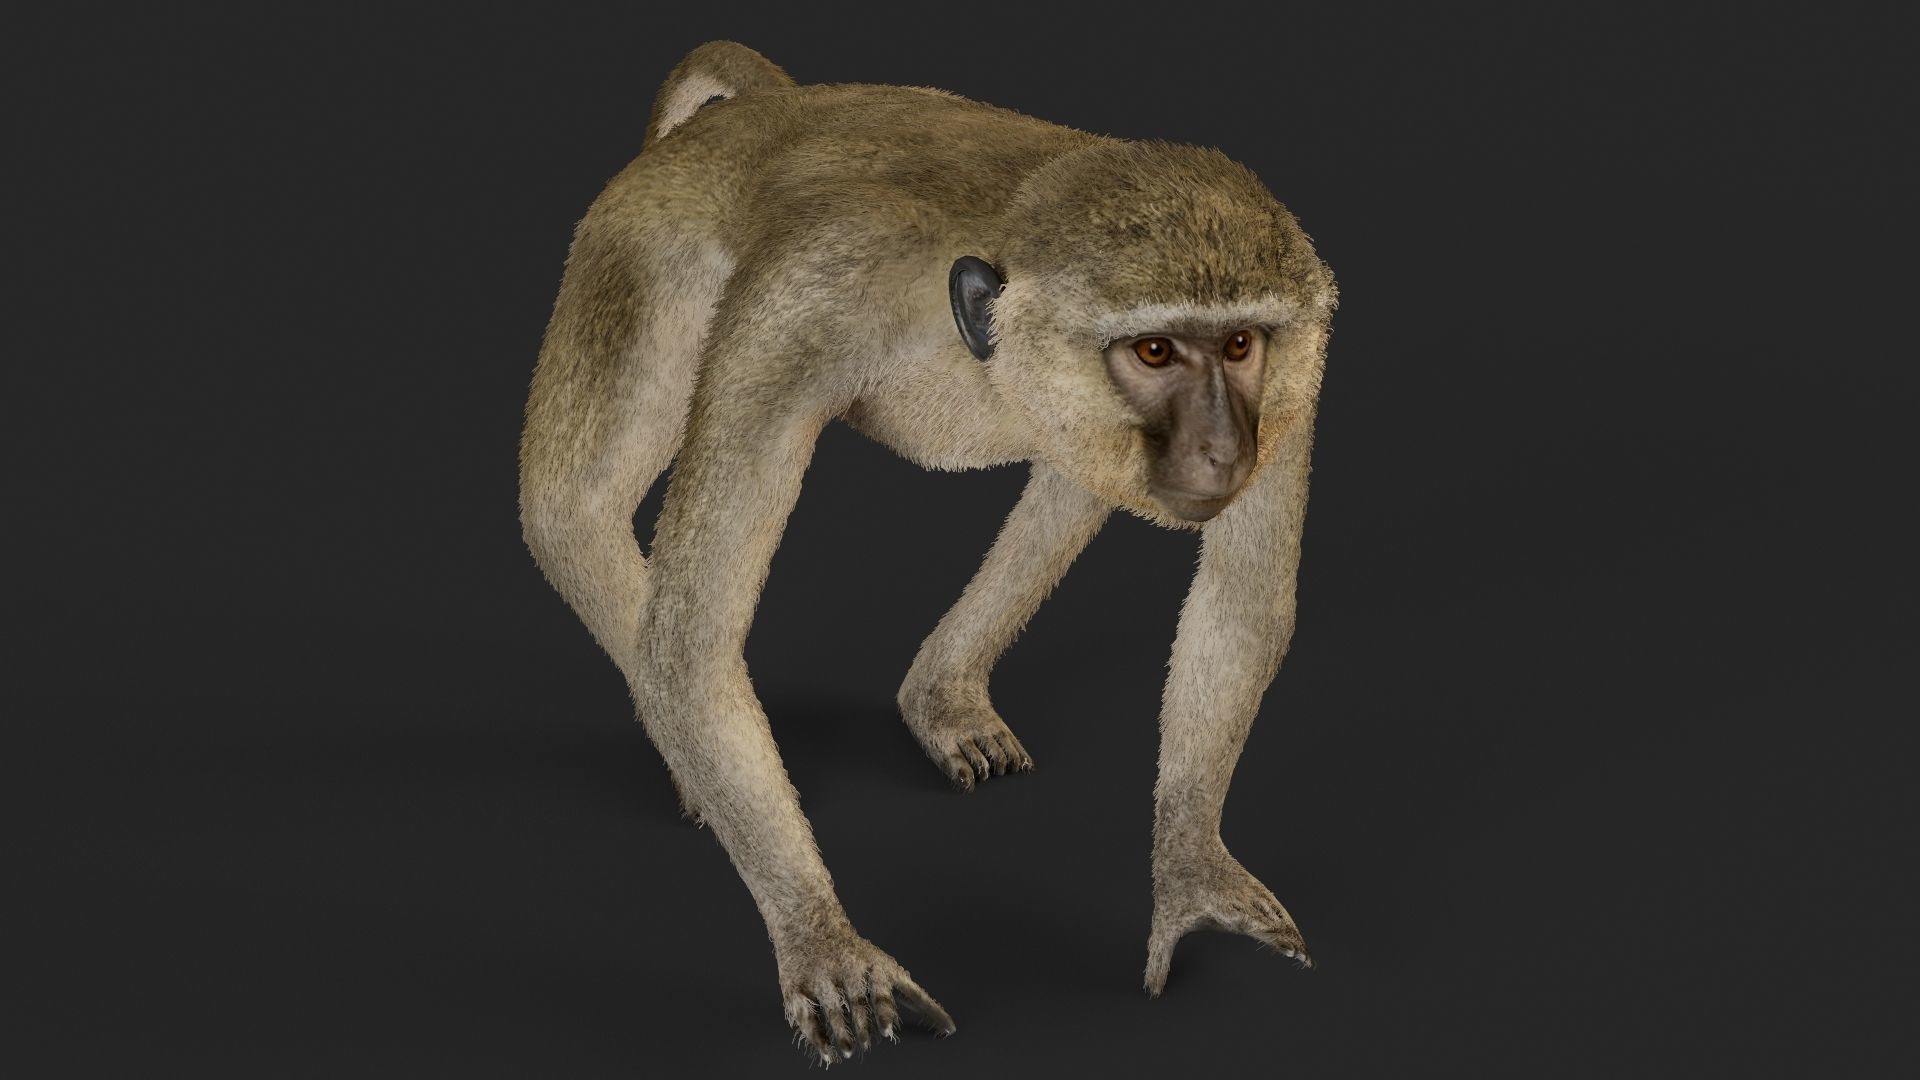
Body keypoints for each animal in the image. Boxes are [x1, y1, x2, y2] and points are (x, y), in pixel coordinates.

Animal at [518, 41, 1337, 1065]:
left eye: (1238, 344)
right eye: (1154, 352)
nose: (1224, 450)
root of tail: (765, 111)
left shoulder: (1293, 385)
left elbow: (1241, 601)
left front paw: (1190, 870)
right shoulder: (799, 313)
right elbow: (685, 645)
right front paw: (825, 943)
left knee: (1076, 480)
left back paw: (937, 693)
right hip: (636, 249)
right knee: (569, 512)